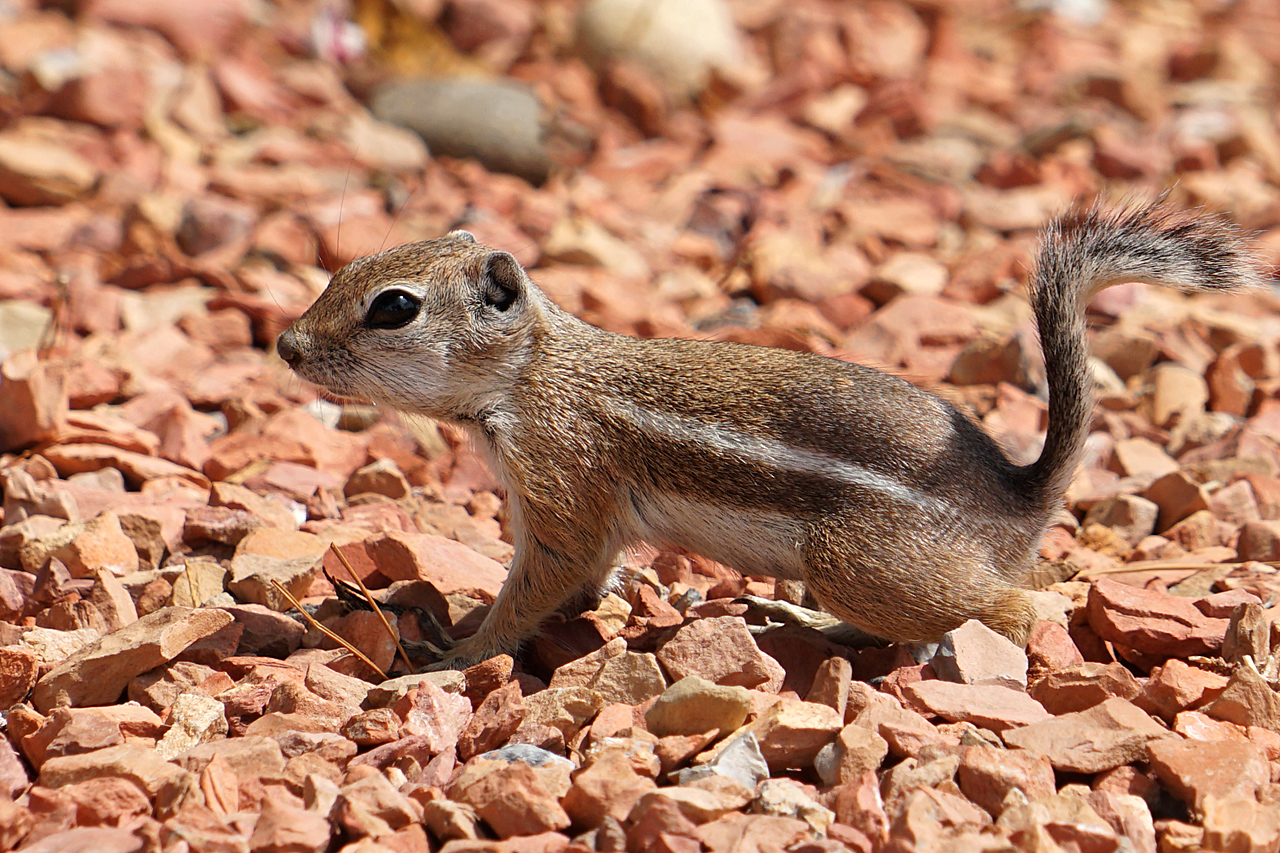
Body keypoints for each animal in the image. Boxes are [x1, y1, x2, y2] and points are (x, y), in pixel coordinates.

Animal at [277, 202, 1249, 666]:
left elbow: (537, 585)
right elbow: (587, 575)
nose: (287, 345)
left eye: (392, 308)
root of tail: (1021, 492)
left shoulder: (562, 483)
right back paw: (799, 616)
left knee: (1011, 607)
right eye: (350, 265)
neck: (533, 372)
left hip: (858, 558)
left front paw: (457, 653)